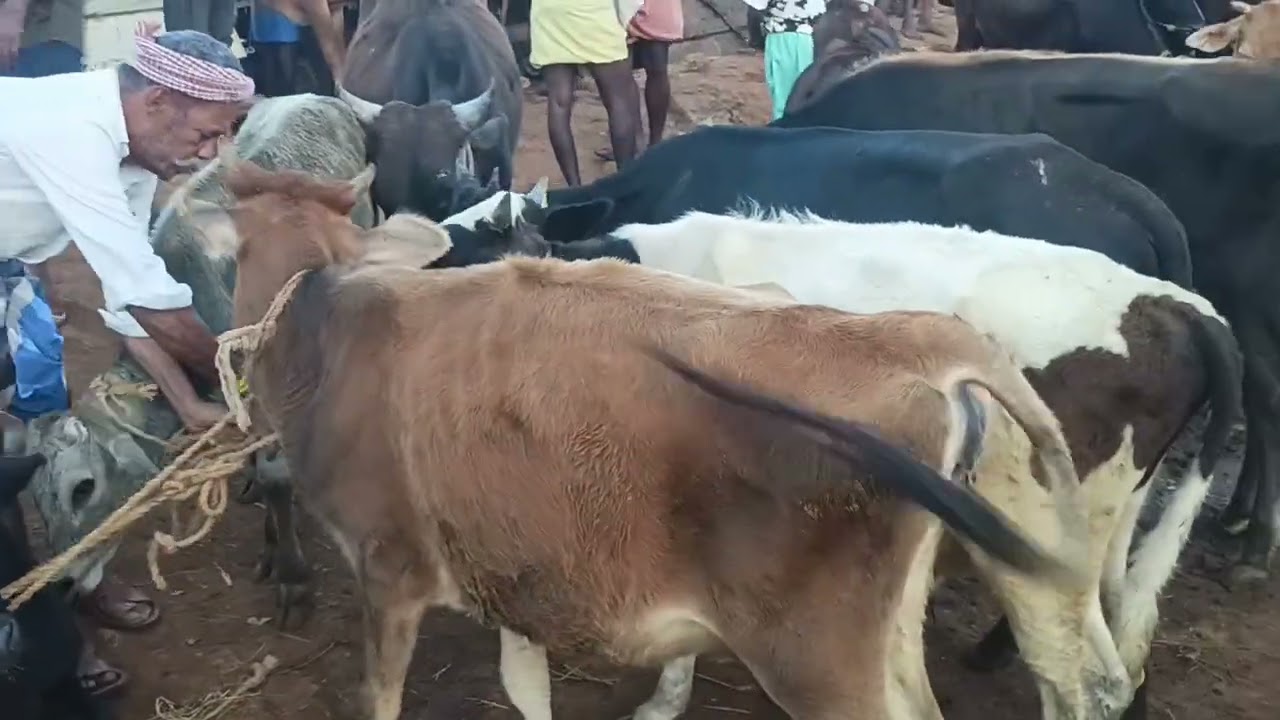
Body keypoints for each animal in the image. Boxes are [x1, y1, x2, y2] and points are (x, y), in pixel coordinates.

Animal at [174, 151, 1094, 720]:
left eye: (229, 259)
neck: (328, 316)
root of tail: (915, 336)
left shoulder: (388, 567)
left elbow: (381, 697)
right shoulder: (514, 569)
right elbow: (524, 689)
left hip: (818, 659)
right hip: (887, 632)